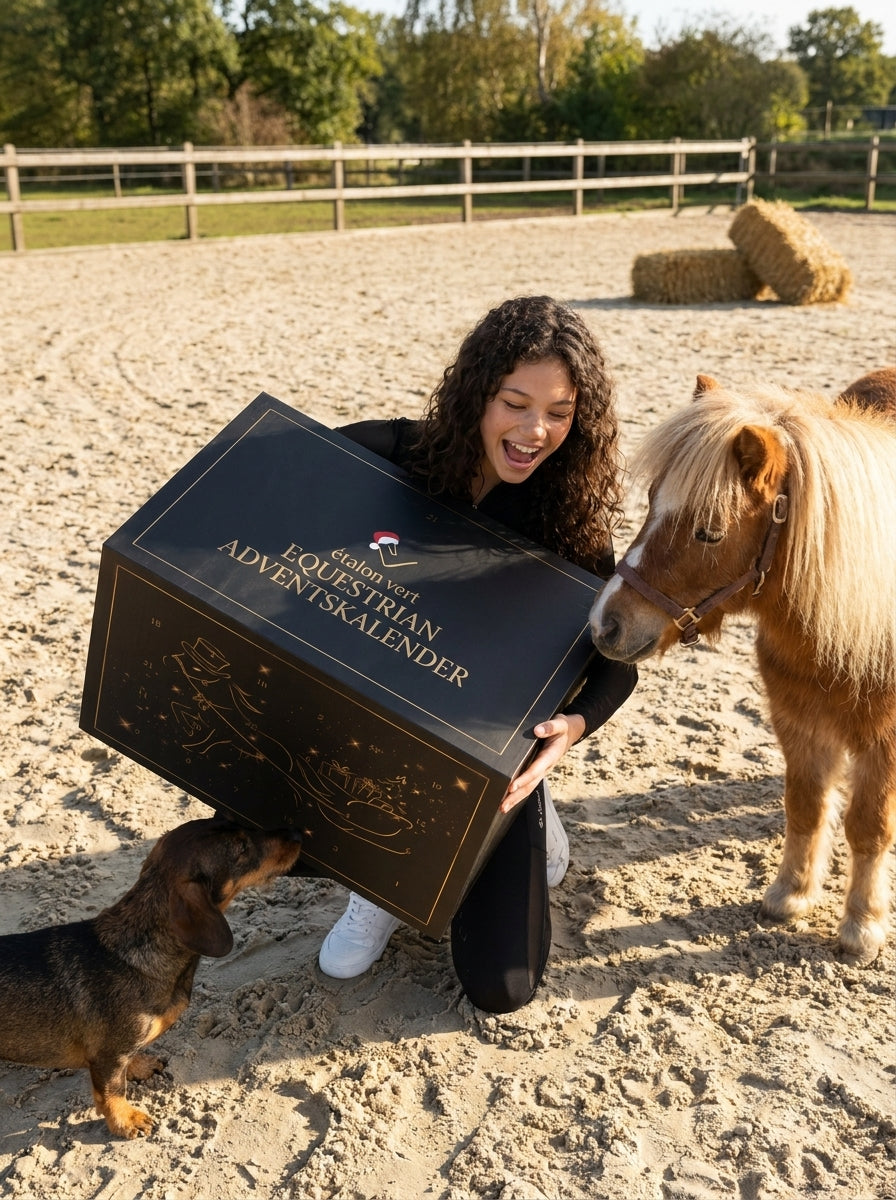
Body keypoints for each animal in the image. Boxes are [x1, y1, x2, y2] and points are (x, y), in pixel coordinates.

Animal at [590, 369, 896, 964]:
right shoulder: (796, 723)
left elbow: (869, 827)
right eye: (652, 501)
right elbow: (805, 805)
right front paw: (791, 894)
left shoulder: (884, 742)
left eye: (709, 531)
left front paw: (863, 925)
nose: (605, 625)